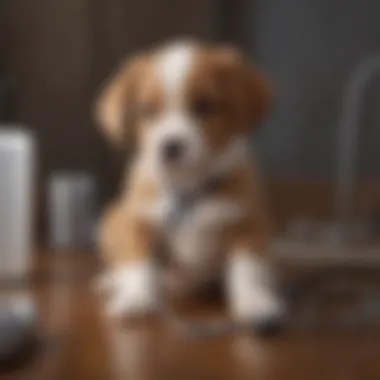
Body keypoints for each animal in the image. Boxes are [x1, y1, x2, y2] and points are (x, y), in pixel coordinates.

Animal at [94, 40, 284, 326]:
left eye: (205, 106)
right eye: (148, 110)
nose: (171, 146)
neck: (188, 188)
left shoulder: (249, 223)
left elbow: (248, 268)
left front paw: (255, 300)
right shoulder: (135, 222)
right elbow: (138, 264)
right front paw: (137, 298)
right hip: (111, 221)